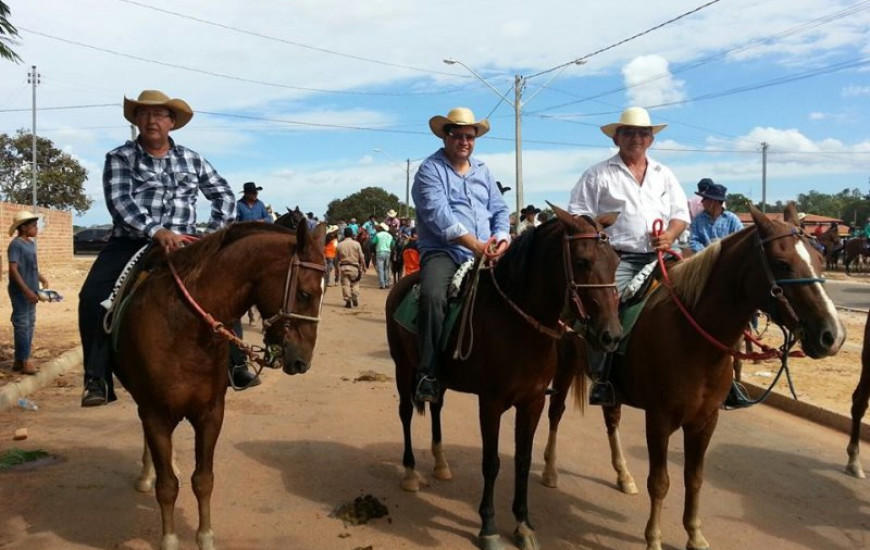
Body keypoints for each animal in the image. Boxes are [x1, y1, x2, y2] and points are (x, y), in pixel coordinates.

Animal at [112, 221, 324, 550]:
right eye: (304, 293)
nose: (302, 362)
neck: (184, 329)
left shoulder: (210, 414)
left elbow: (203, 480)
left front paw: (205, 537)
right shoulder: (156, 414)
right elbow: (168, 487)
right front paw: (169, 539)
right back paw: (148, 474)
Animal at [384, 207, 624, 550]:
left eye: (616, 261)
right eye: (582, 261)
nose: (611, 335)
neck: (518, 323)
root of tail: (402, 284)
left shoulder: (533, 402)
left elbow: (522, 460)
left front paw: (523, 524)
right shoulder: (491, 403)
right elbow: (492, 462)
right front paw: (489, 527)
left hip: (437, 377)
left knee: (436, 407)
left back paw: (441, 464)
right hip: (402, 367)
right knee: (405, 413)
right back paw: (410, 473)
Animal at [544, 205, 844, 550]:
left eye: (819, 258)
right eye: (782, 263)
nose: (833, 335)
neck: (694, 339)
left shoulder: (706, 420)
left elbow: (694, 478)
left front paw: (694, 534)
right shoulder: (659, 420)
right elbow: (660, 482)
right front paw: (654, 538)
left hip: (612, 389)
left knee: (612, 419)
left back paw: (623, 475)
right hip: (565, 365)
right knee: (555, 413)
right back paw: (550, 471)